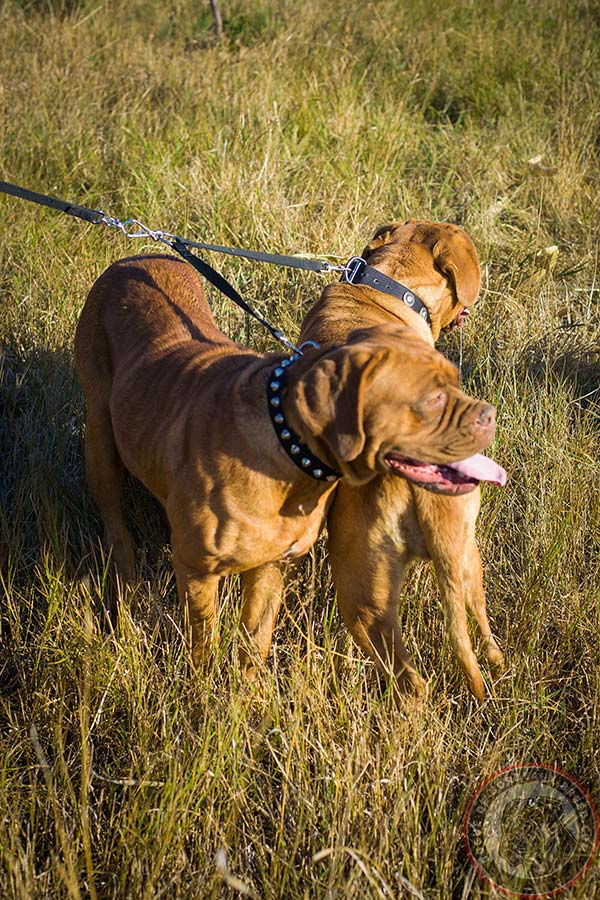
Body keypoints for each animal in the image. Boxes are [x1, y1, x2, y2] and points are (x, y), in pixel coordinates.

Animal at [75, 250, 500, 680]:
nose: (488, 415)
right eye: (432, 399)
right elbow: (203, 645)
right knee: (114, 520)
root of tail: (139, 254)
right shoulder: (197, 571)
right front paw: (203, 689)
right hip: (100, 440)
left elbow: (254, 642)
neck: (288, 447)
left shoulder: (271, 568)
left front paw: (245, 691)